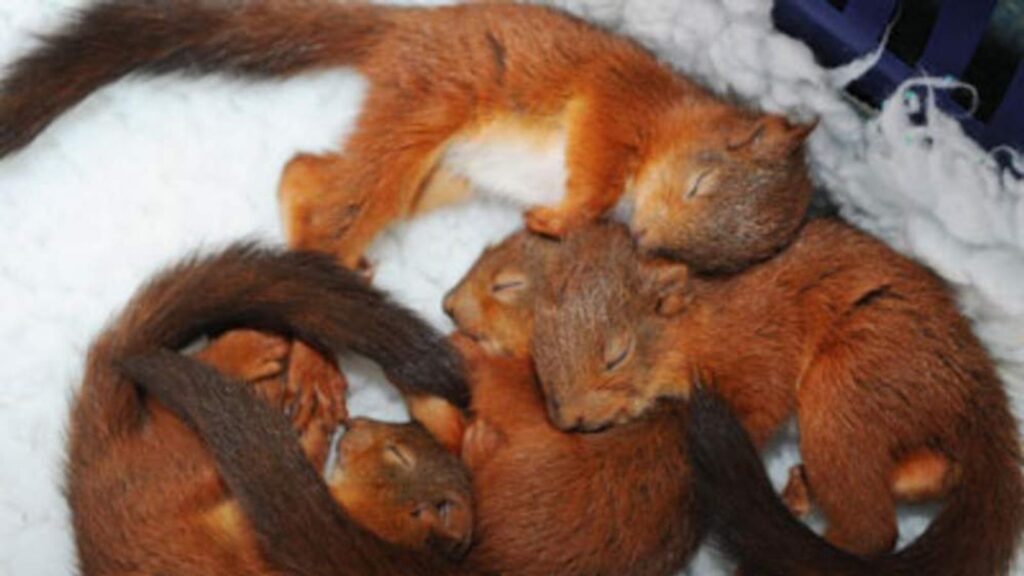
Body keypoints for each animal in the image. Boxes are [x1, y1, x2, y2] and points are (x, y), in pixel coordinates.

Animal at [0, 1, 814, 273]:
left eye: (706, 259)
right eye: (702, 182)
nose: (645, 237)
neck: (679, 114)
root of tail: (407, 28)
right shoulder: (615, 106)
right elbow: (595, 166)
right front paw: (560, 218)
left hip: (439, 177)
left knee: (306, 170)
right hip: (425, 112)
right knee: (334, 187)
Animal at [69, 242, 476, 575]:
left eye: (398, 453)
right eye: (405, 430)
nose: (354, 424)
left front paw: (317, 426)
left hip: (193, 460)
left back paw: (258, 361)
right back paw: (258, 348)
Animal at [530, 221, 1023, 574]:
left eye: (617, 354)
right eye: (539, 352)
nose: (566, 419)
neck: (698, 324)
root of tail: (974, 387)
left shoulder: (758, 352)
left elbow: (761, 405)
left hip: (843, 392)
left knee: (874, 531)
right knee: (937, 471)